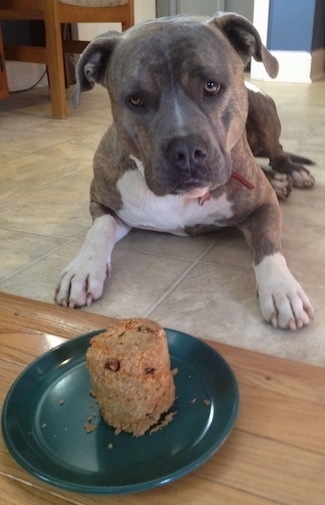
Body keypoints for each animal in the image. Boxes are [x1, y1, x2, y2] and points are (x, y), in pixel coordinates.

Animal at [54, 13, 312, 328]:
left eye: (211, 86)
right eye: (135, 99)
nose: (186, 150)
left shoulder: (263, 206)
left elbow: (269, 246)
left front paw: (281, 289)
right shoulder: (104, 204)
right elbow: (97, 232)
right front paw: (82, 269)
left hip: (263, 113)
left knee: (278, 155)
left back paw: (292, 175)